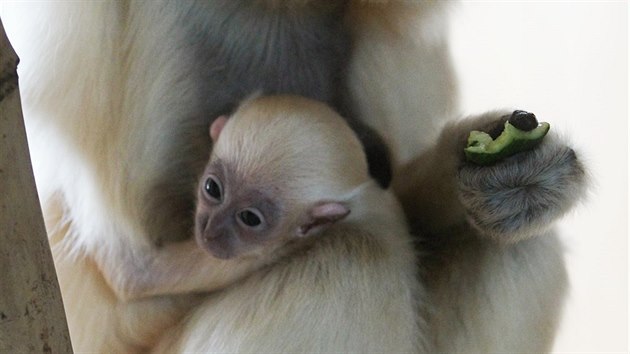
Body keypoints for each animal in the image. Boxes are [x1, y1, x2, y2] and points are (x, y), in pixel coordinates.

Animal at [1, 1, 588, 352]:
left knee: (515, 246)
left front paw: (504, 174)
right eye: (211, 191)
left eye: (251, 216)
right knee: (349, 261)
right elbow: (132, 268)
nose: (212, 231)